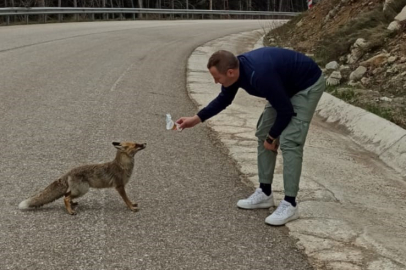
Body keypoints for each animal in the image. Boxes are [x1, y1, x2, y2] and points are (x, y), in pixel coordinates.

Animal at [18, 141, 147, 215]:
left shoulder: (120, 186)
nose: (145, 143)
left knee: (66, 195)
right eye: (136, 145)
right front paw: (131, 208)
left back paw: (72, 205)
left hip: (78, 190)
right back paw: (70, 211)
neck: (123, 166)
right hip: (83, 190)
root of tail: (68, 172)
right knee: (65, 198)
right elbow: (126, 199)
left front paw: (133, 204)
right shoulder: (119, 186)